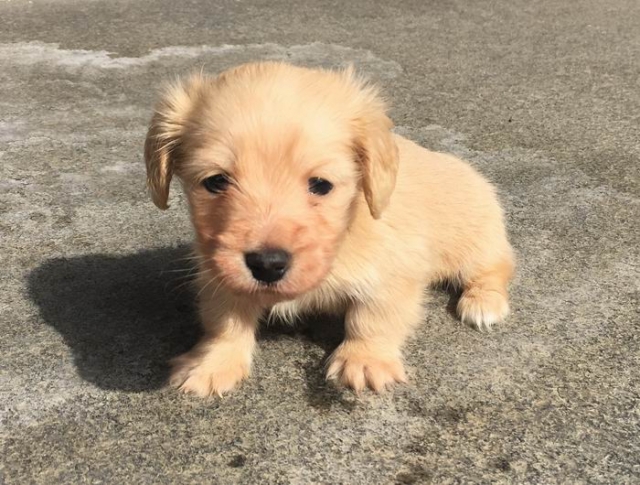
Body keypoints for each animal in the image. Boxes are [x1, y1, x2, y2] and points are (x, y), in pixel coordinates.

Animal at [144, 62, 515, 396]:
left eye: (321, 185)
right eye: (216, 181)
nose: (267, 265)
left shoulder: (394, 274)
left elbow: (373, 318)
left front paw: (365, 360)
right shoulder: (217, 272)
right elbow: (225, 323)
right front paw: (210, 364)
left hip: (476, 239)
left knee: (498, 265)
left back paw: (483, 303)